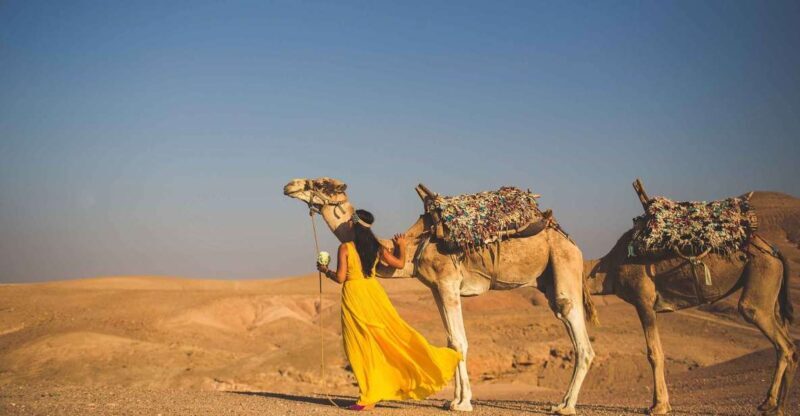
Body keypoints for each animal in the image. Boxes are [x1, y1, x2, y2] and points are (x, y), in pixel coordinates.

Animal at [284, 177, 598, 414]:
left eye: (322, 184)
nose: (290, 185)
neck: (415, 246)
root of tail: (571, 241)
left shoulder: (448, 282)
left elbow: (459, 341)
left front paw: (463, 403)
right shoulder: (436, 288)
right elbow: (450, 341)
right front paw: (453, 400)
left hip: (563, 265)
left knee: (579, 336)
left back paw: (565, 406)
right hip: (548, 277)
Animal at [586, 181, 796, 416]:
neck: (608, 268)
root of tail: (773, 251)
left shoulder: (643, 300)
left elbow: (654, 353)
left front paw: (659, 406)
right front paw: (662, 403)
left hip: (762, 272)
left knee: (778, 338)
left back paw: (776, 406)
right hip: (771, 287)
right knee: (783, 340)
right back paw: (772, 402)